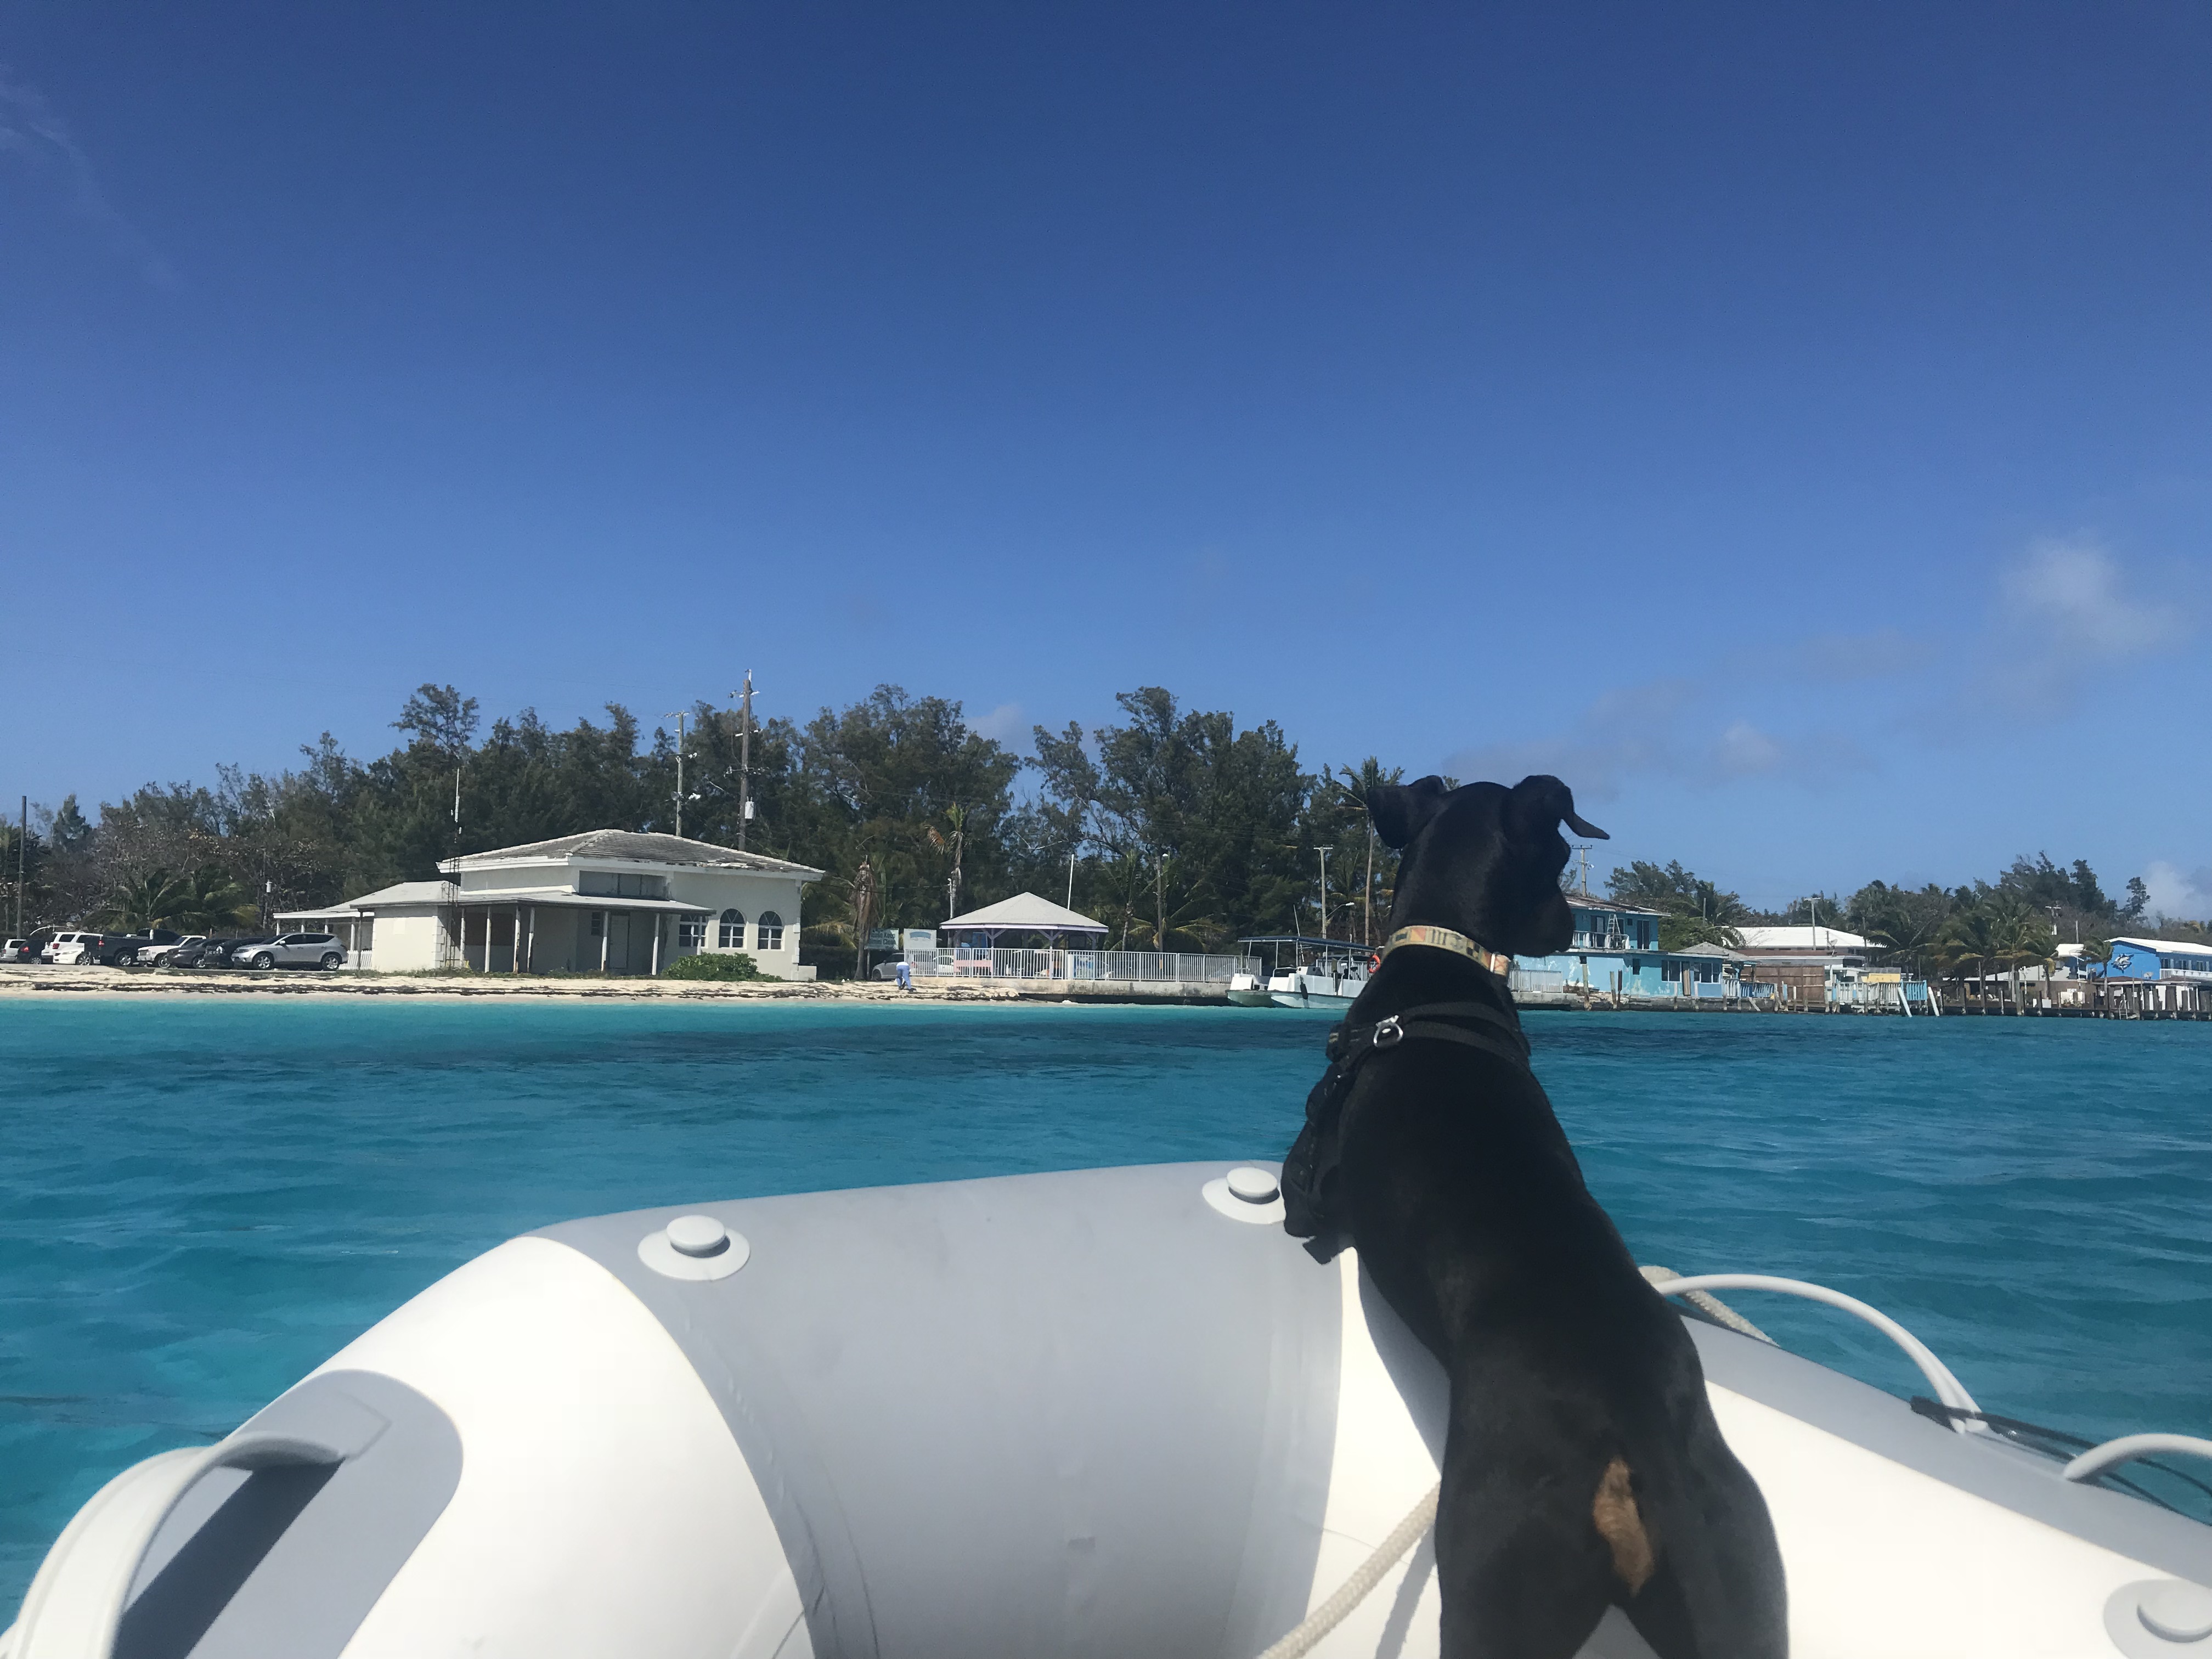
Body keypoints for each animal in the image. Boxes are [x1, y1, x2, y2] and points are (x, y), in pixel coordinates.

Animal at [1282, 773, 1786, 1659]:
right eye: (1556, 861)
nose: (1566, 929)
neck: (1440, 957)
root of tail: (1636, 1431)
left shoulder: (1311, 1186)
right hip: (1738, 1576)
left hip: (1493, 1574)